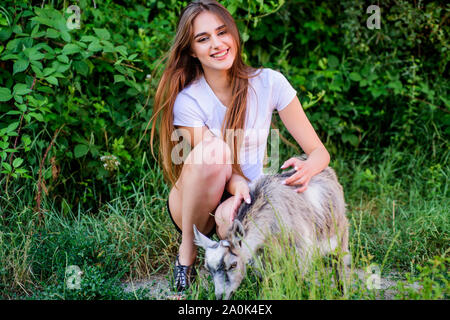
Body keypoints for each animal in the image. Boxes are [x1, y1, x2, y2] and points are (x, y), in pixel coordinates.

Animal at [193, 155, 352, 300]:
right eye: (208, 268)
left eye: (233, 264)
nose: (220, 296)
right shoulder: (263, 257)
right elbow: (267, 281)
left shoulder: (301, 251)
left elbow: (296, 279)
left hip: (340, 234)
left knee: (340, 264)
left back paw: (342, 292)